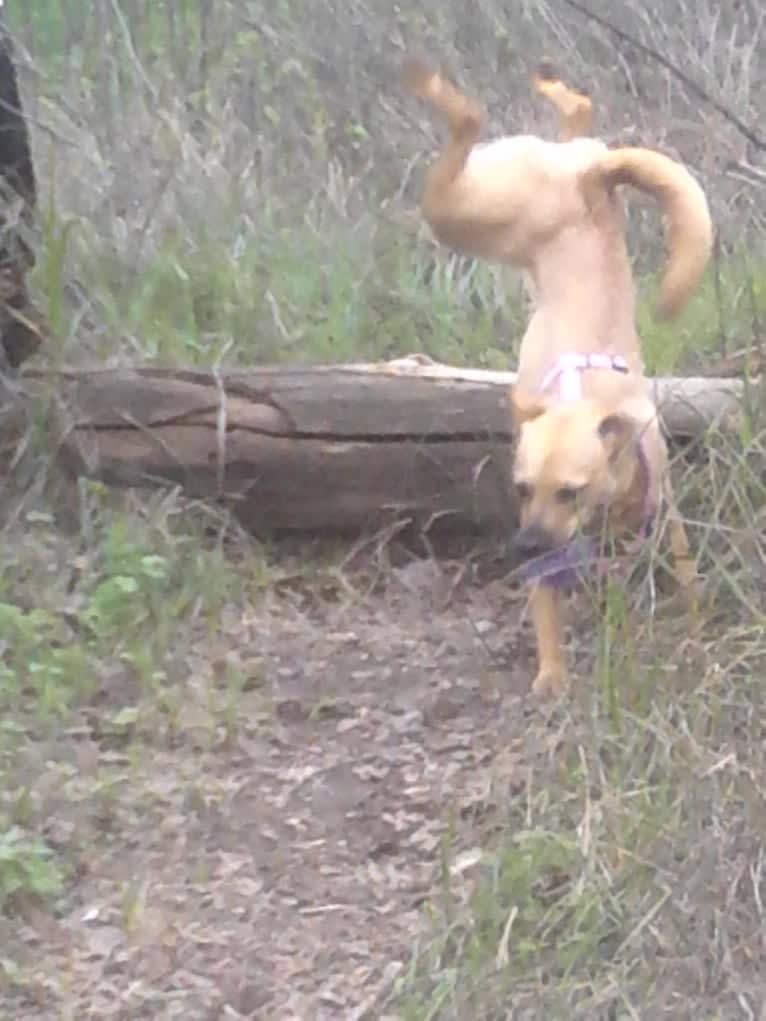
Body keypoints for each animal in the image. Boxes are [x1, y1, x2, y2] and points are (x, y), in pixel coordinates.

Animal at [404, 53, 719, 694]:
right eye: (522, 489)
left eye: (570, 491)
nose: (524, 545)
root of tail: (591, 175)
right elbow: (547, 610)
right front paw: (551, 676)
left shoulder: (665, 507)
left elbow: (684, 570)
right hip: (475, 214)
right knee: (481, 129)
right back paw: (444, 85)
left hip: (483, 210)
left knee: (555, 114)